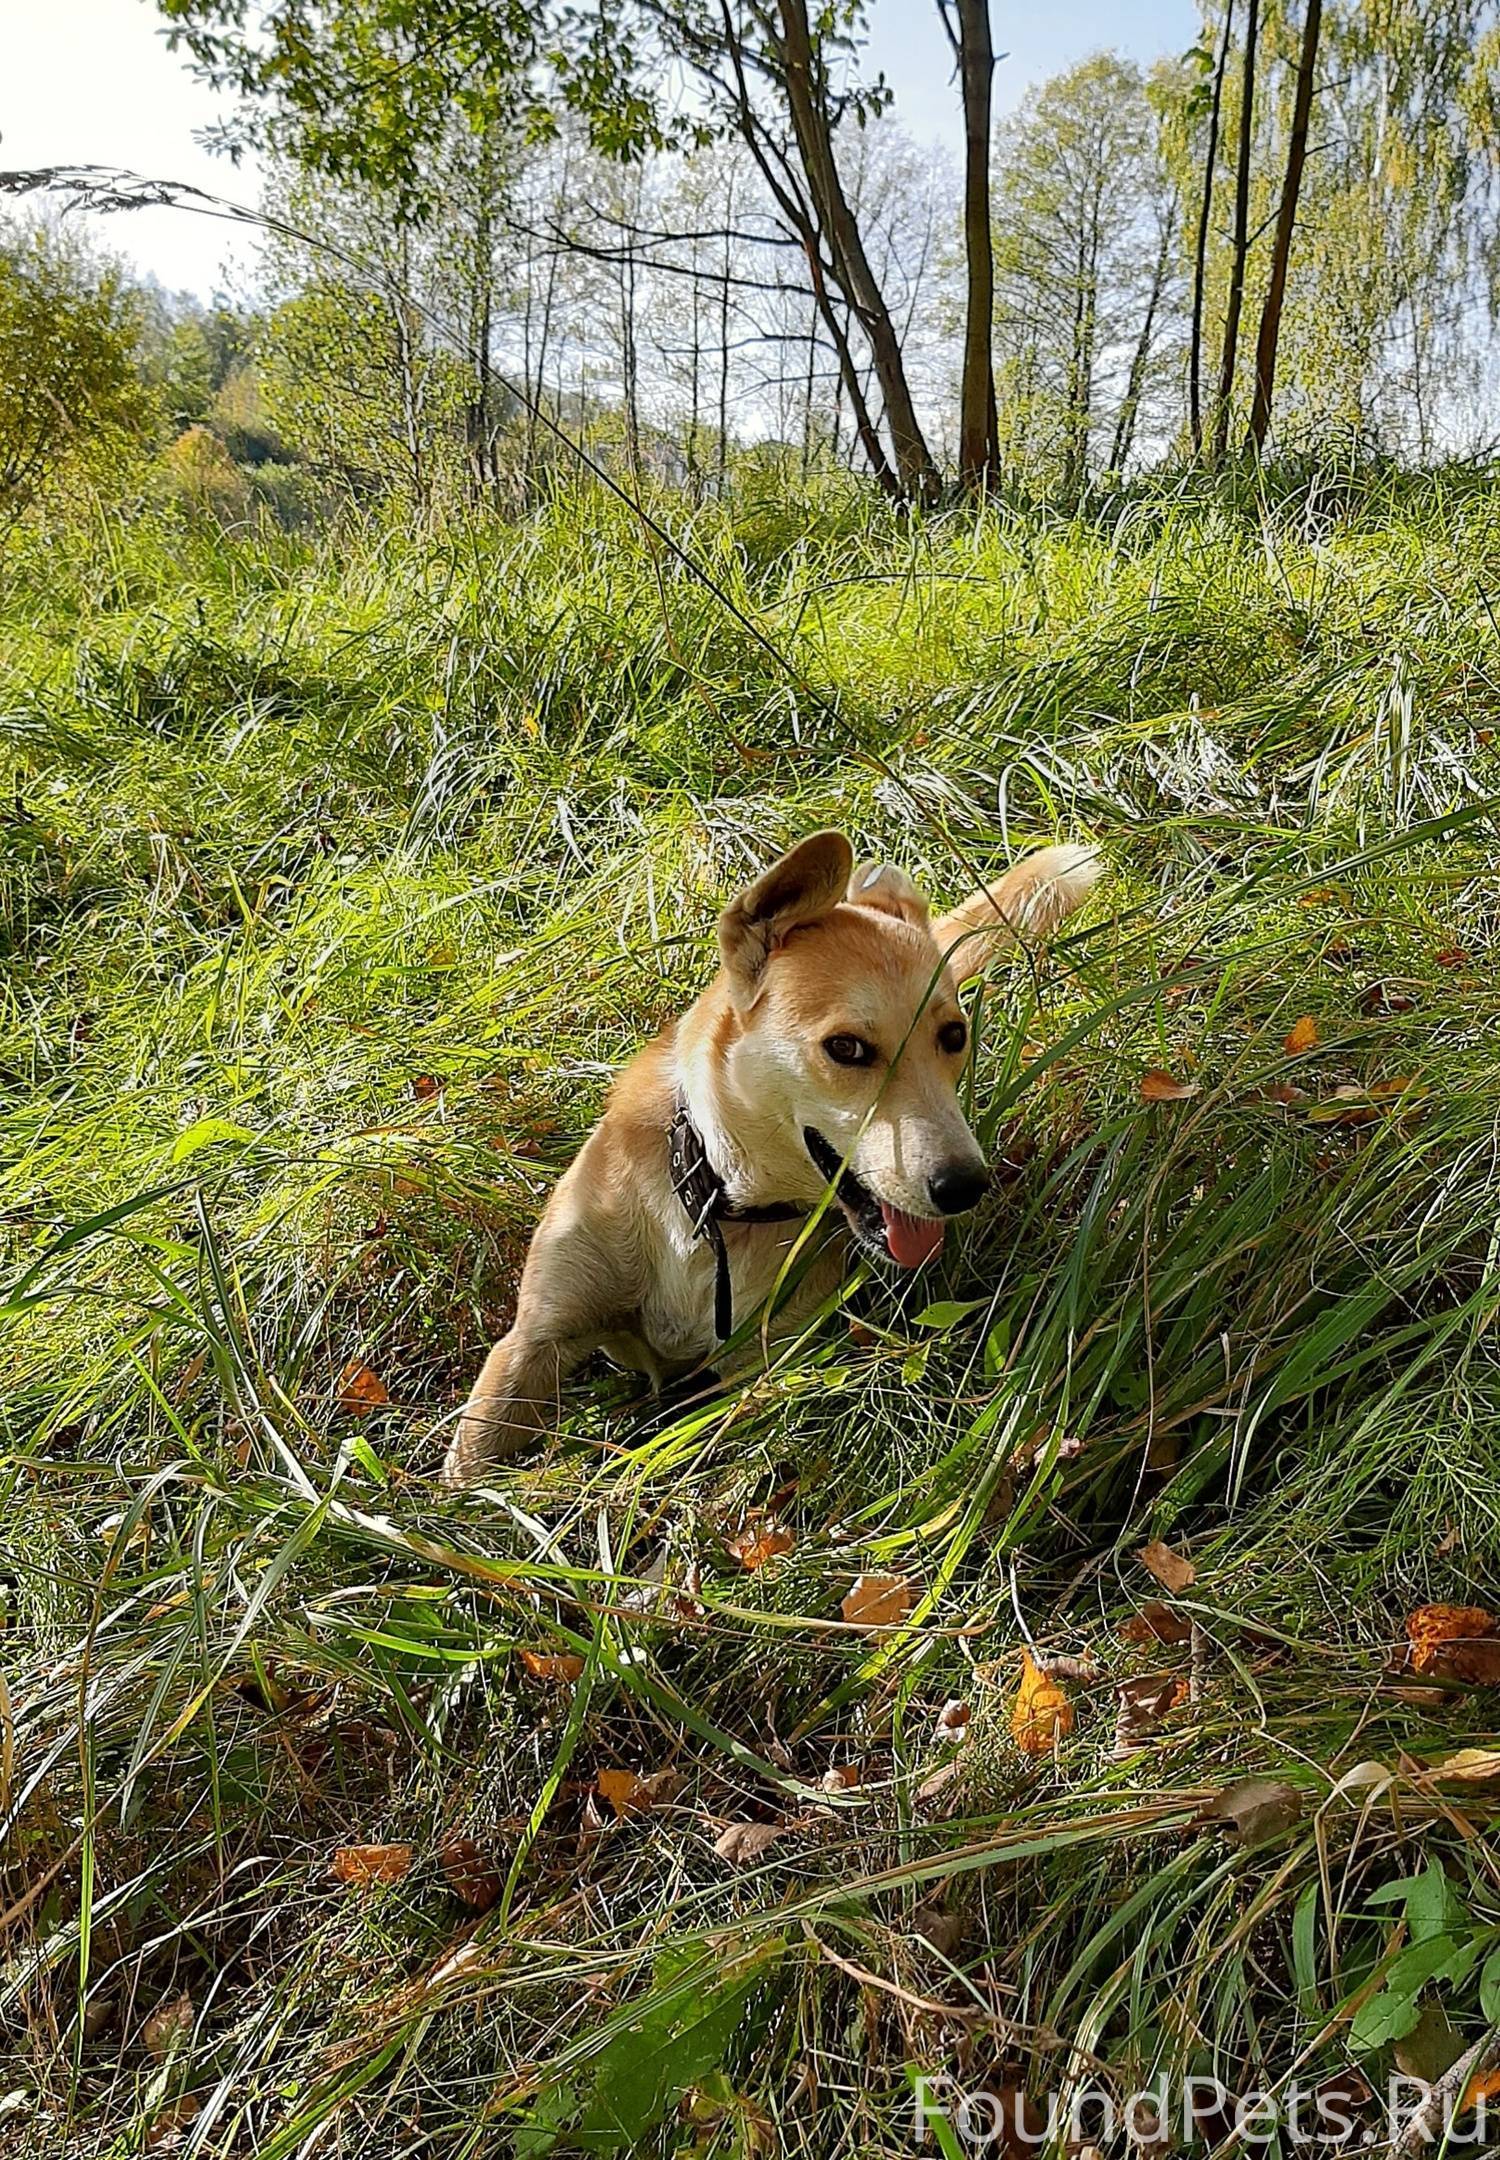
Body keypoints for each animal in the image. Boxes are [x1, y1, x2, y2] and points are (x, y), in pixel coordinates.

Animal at [440, 825, 1097, 1486]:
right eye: (846, 1048)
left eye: (954, 1036)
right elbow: (466, 1472)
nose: (965, 1186)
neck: (718, 1209)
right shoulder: (532, 1343)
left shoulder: (752, 1372)